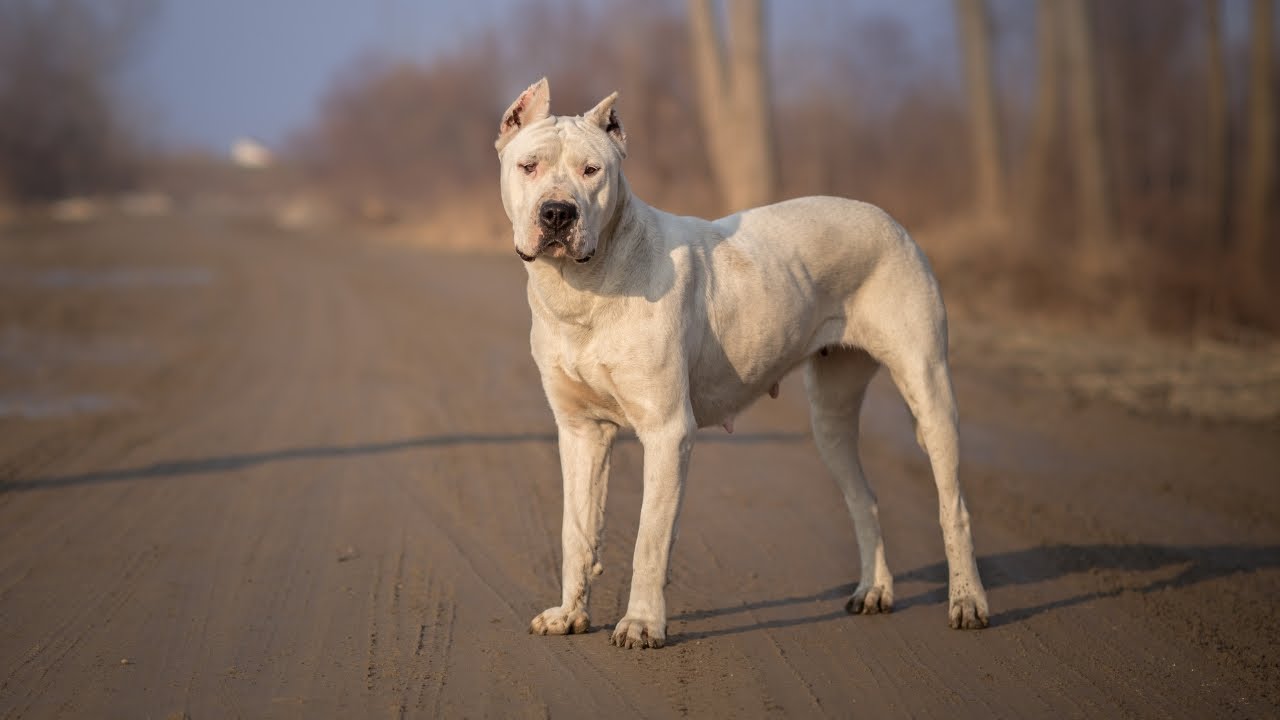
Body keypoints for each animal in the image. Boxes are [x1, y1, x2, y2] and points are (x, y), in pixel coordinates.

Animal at [496, 77, 988, 645]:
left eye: (591, 171)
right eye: (528, 166)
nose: (558, 212)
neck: (584, 288)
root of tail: (888, 218)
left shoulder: (668, 432)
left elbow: (649, 539)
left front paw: (641, 622)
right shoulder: (581, 431)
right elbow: (576, 531)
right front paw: (570, 613)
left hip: (929, 390)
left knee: (955, 506)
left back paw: (968, 601)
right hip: (831, 419)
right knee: (863, 496)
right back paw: (875, 590)